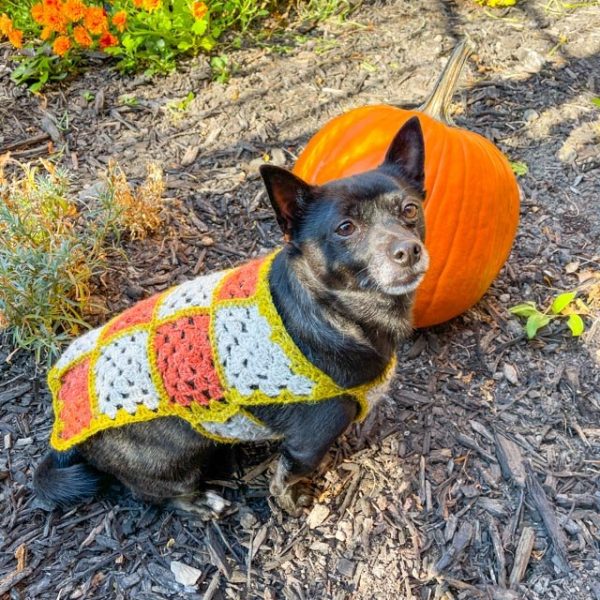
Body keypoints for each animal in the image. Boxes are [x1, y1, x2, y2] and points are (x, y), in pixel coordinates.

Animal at [32, 116, 428, 516]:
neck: (335, 310)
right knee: (155, 494)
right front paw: (292, 502)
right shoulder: (306, 445)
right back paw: (204, 502)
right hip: (172, 460)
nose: (408, 250)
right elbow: (285, 478)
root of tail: (66, 418)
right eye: (345, 228)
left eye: (410, 210)